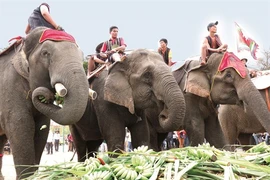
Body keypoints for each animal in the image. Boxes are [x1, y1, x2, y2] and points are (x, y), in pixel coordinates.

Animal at [0, 27, 88, 178]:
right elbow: (22, 127)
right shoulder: (9, 88)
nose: (46, 94)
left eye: (82, 55)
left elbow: (42, 129)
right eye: (45, 53)